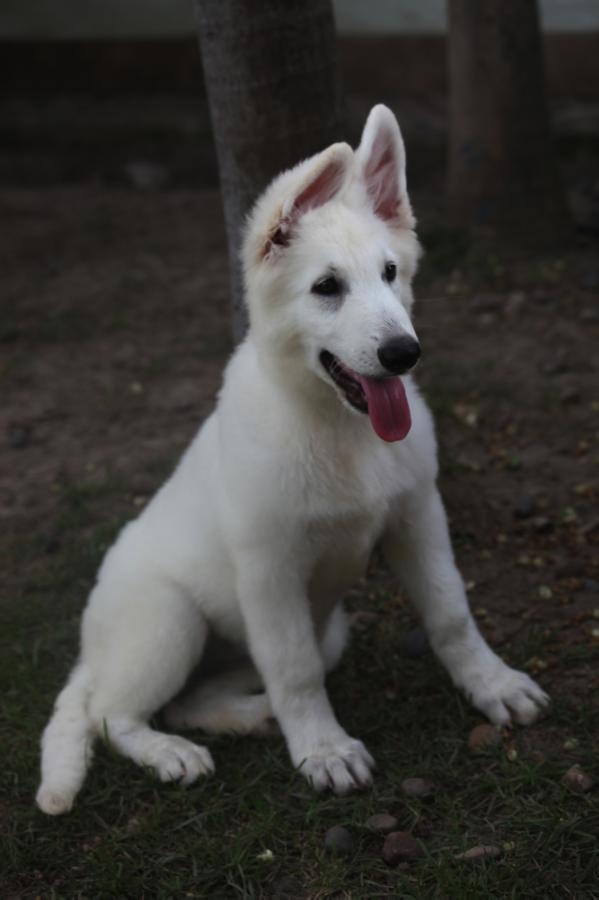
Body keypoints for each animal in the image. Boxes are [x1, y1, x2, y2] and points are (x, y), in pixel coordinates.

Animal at [36, 107, 548, 816]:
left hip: (313, 632)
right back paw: (173, 753)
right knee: (112, 715)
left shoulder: (418, 516)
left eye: (392, 273)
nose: (404, 354)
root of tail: (93, 649)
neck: (338, 428)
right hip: (169, 622)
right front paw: (324, 751)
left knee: (190, 698)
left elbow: (450, 612)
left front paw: (492, 684)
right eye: (327, 288)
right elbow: (296, 670)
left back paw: (250, 719)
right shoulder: (270, 571)